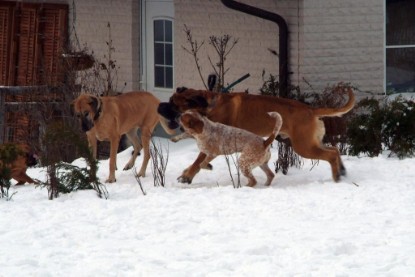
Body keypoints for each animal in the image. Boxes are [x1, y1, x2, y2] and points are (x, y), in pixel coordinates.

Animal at [158, 87, 354, 182]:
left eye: (173, 103)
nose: (159, 106)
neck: (209, 105)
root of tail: (311, 110)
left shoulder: (210, 142)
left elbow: (198, 160)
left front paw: (187, 176)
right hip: (310, 143)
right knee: (335, 150)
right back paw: (342, 170)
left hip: (303, 146)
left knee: (330, 154)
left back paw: (337, 176)